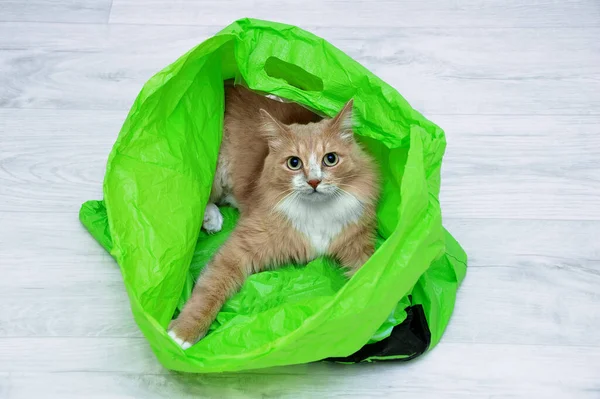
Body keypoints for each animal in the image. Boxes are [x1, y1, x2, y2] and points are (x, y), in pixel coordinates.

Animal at [166, 85, 378, 350]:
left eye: (330, 159)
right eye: (294, 163)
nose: (314, 182)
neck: (317, 211)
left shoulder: (358, 244)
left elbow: (367, 276)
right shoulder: (241, 248)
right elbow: (211, 288)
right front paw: (182, 334)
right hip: (215, 175)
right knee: (207, 197)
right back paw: (211, 220)